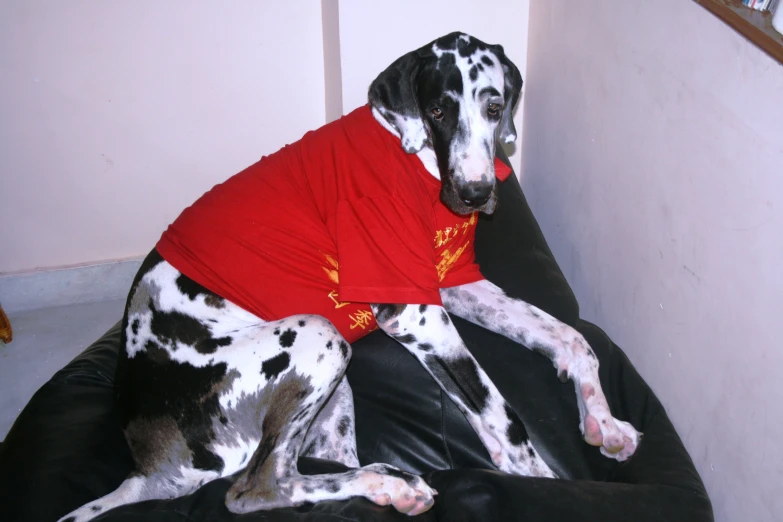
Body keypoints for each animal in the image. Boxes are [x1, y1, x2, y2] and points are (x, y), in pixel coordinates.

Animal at [58, 32, 640, 520]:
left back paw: (385, 483)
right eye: (437, 111)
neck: (414, 160)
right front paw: (545, 484)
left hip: (332, 389)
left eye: (495, 107)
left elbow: (570, 336)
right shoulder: (414, 312)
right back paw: (389, 481)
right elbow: (502, 411)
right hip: (320, 336)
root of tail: (147, 465)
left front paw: (603, 420)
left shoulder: (453, 286)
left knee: (323, 463)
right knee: (257, 486)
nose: (475, 194)